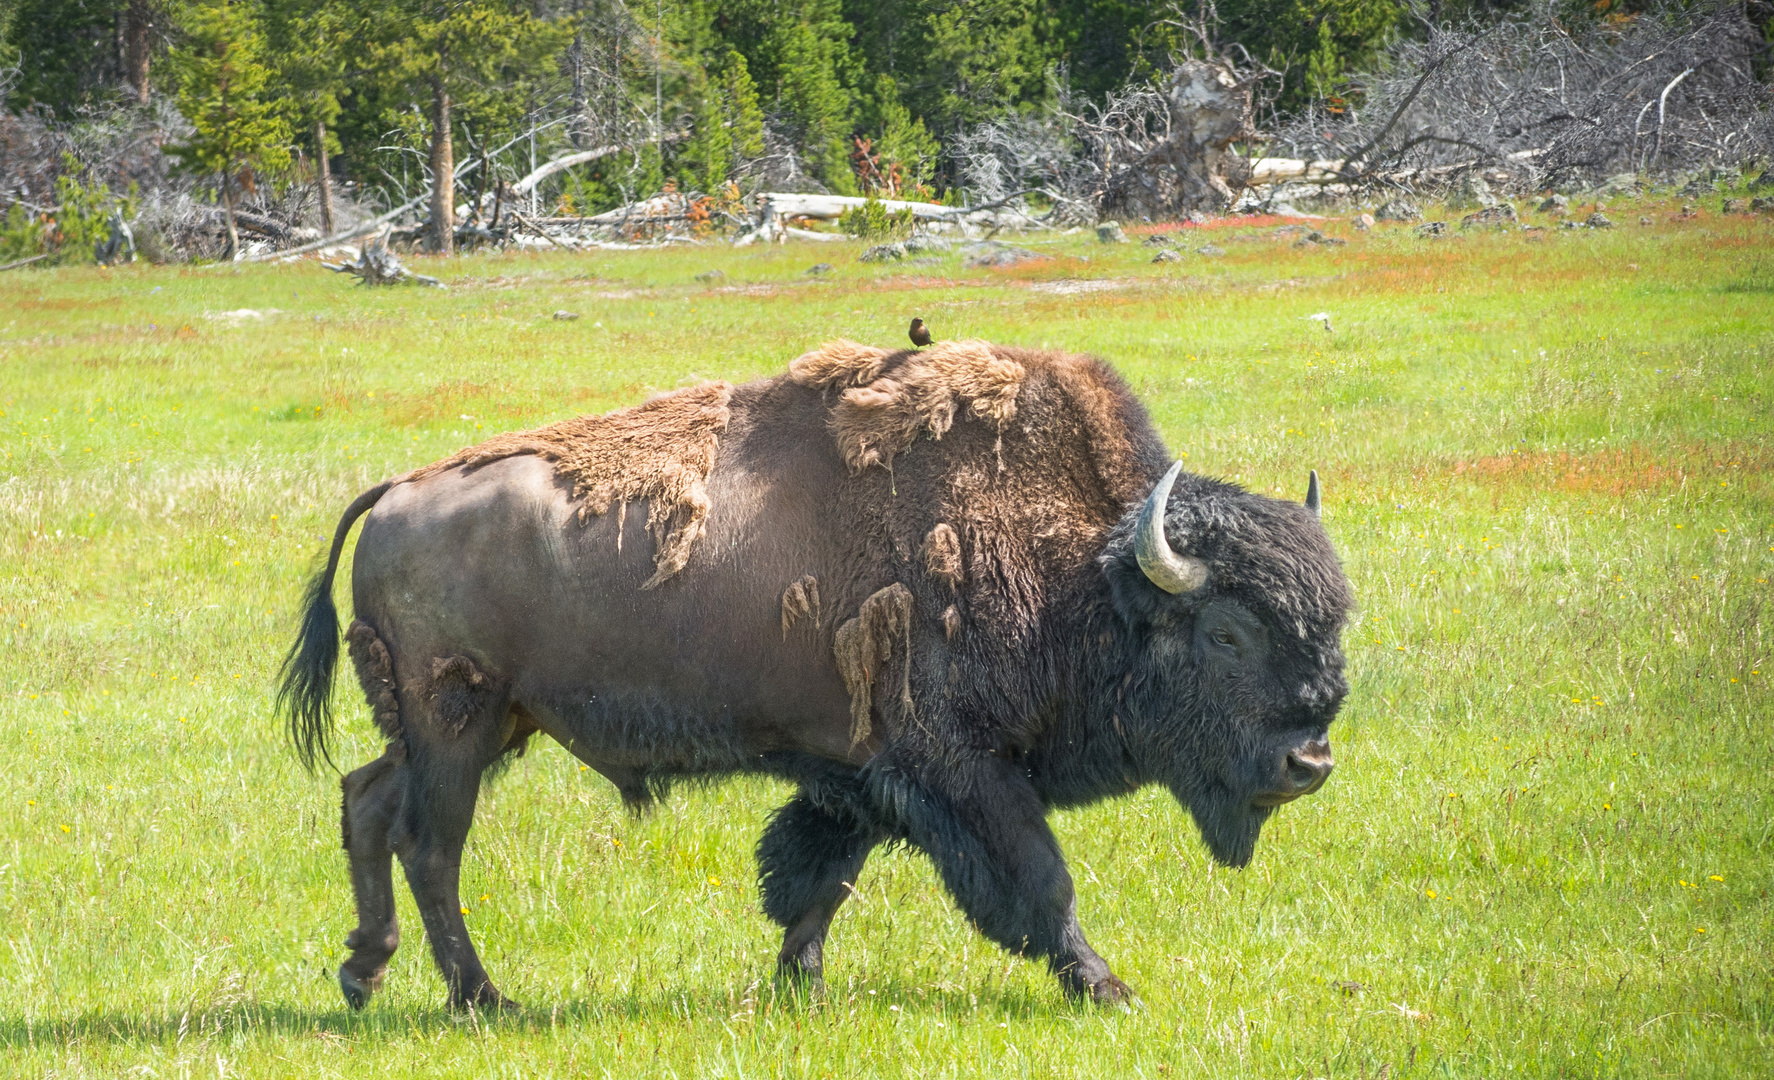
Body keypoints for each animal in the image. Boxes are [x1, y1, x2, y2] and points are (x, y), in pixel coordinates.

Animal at [283, 338, 1348, 1007]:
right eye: (1226, 636)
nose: (1312, 763)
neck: (1086, 568)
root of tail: (398, 490)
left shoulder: (860, 771)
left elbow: (820, 876)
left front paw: (799, 985)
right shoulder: (959, 770)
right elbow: (1043, 883)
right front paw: (1106, 986)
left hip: (474, 726)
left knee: (367, 801)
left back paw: (363, 973)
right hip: (457, 724)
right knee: (430, 845)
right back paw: (480, 998)